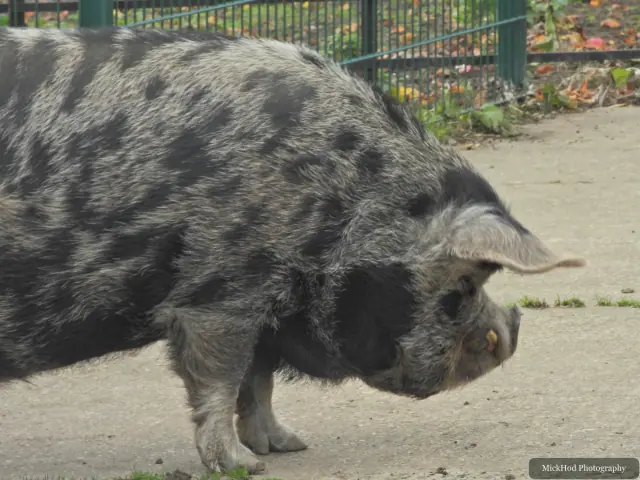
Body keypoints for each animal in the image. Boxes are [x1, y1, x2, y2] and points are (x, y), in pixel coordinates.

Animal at [0, 26, 585, 475]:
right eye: (463, 285)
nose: (508, 335)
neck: (343, 201)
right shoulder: (220, 292)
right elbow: (219, 378)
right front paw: (244, 466)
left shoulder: (263, 306)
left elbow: (257, 383)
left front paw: (289, 446)